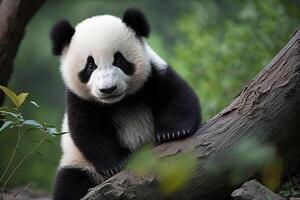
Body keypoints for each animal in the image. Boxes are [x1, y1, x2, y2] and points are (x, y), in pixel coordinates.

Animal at [51, 7, 202, 200]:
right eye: (90, 66)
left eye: (119, 60)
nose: (108, 89)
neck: (119, 101)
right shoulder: (79, 99)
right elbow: (88, 130)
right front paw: (116, 163)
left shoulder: (152, 74)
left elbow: (176, 95)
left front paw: (173, 132)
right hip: (79, 164)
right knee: (70, 183)